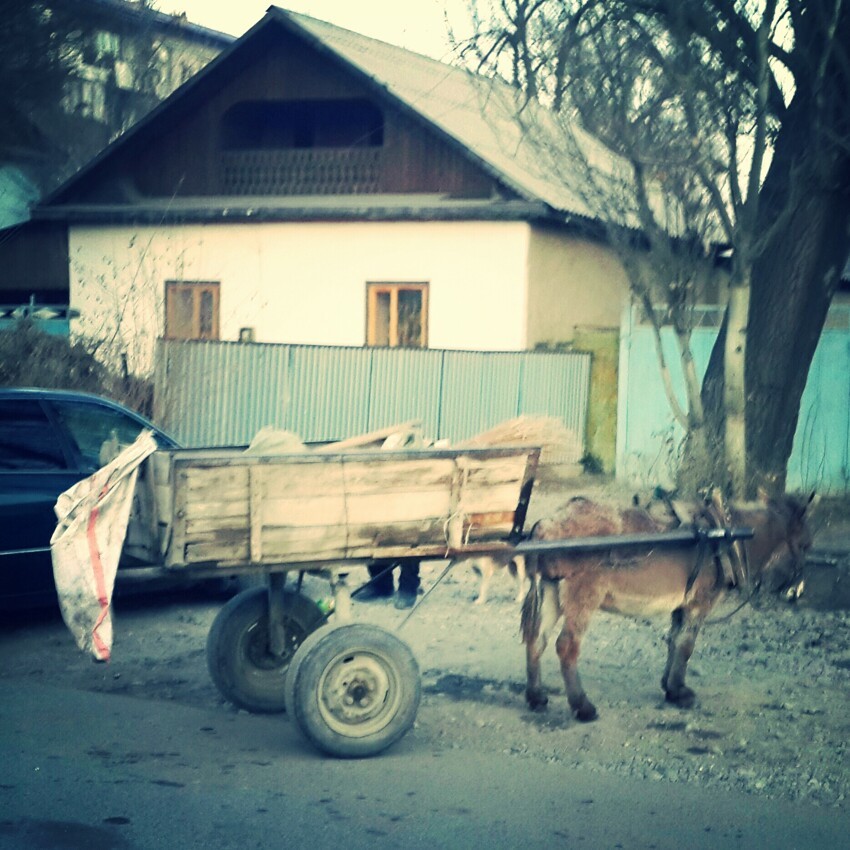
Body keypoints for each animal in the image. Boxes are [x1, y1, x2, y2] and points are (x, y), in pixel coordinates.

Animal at [520, 494, 812, 720]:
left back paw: (536, 697)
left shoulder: (681, 607)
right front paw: (679, 692)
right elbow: (686, 644)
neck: (727, 535)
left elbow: (673, 641)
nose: (797, 593)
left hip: (551, 592)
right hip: (582, 596)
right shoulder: (699, 604)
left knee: (536, 639)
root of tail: (548, 524)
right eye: (806, 546)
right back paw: (583, 707)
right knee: (567, 646)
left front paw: (669, 687)